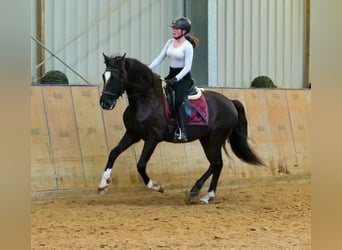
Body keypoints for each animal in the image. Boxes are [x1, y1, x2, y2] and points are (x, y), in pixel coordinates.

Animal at [97, 52, 264, 203]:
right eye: (104, 76)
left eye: (118, 77)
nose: (105, 103)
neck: (146, 100)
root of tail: (230, 102)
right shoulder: (133, 134)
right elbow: (114, 152)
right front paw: (103, 185)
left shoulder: (152, 138)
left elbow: (141, 165)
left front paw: (157, 186)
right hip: (206, 139)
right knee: (215, 164)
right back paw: (200, 193)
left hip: (214, 139)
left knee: (217, 164)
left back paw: (202, 194)